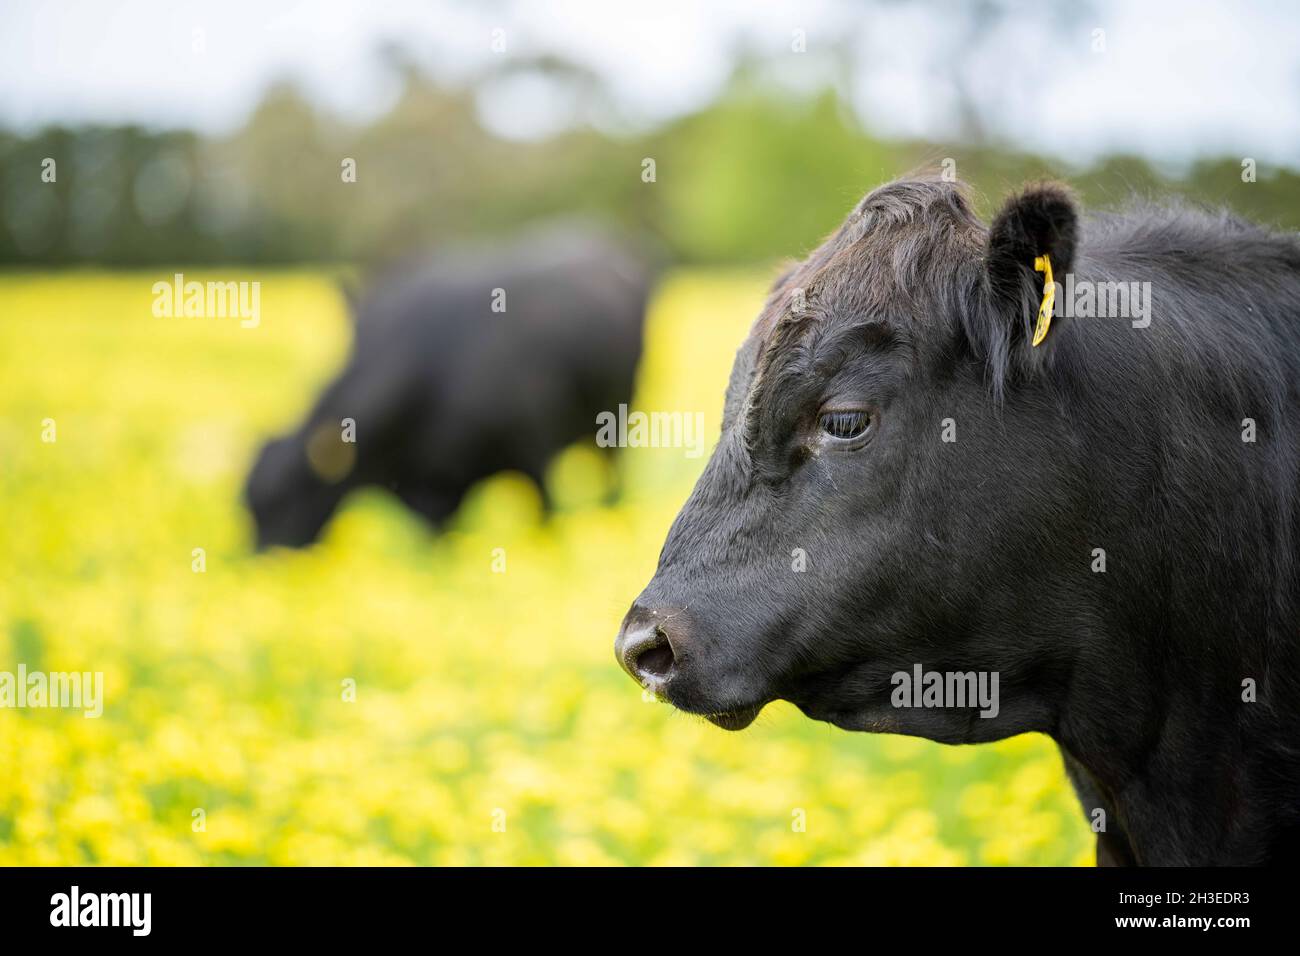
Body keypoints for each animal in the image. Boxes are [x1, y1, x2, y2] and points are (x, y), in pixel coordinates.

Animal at [245, 223, 652, 549]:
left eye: (286, 497)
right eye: (249, 507)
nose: (264, 562)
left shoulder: (536, 451)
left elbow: (546, 516)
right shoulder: (433, 491)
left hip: (617, 414)